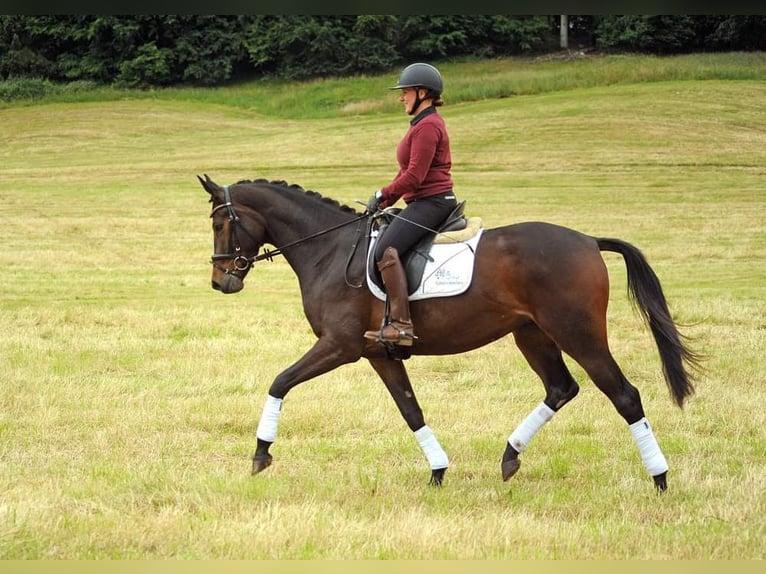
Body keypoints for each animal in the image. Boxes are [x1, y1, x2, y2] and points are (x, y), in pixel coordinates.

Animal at [201, 173, 704, 492]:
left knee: (625, 396)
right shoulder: (379, 355)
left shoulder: (338, 346)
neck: (330, 248)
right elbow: (411, 411)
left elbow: (280, 381)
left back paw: (659, 478)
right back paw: (510, 456)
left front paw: (261, 453)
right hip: (533, 335)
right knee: (561, 388)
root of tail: (587, 241)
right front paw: (438, 471)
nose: (221, 281)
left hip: (578, 334)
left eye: (220, 222)